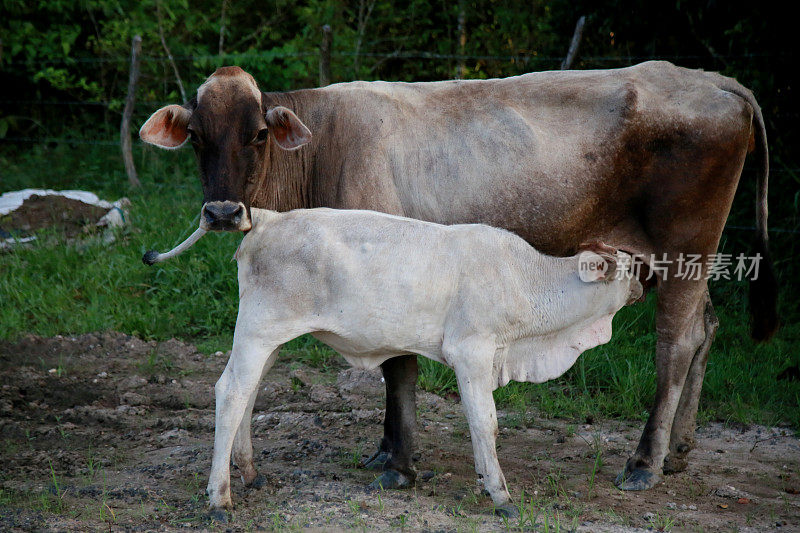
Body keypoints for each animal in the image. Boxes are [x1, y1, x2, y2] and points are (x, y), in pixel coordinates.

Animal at [142, 61, 776, 494]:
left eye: (256, 134)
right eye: (197, 137)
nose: (223, 212)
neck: (323, 149)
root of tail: (716, 81)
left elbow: (399, 368)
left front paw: (399, 464)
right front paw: (386, 452)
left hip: (683, 249)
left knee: (676, 342)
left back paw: (644, 463)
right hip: (695, 261)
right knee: (707, 329)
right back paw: (679, 450)